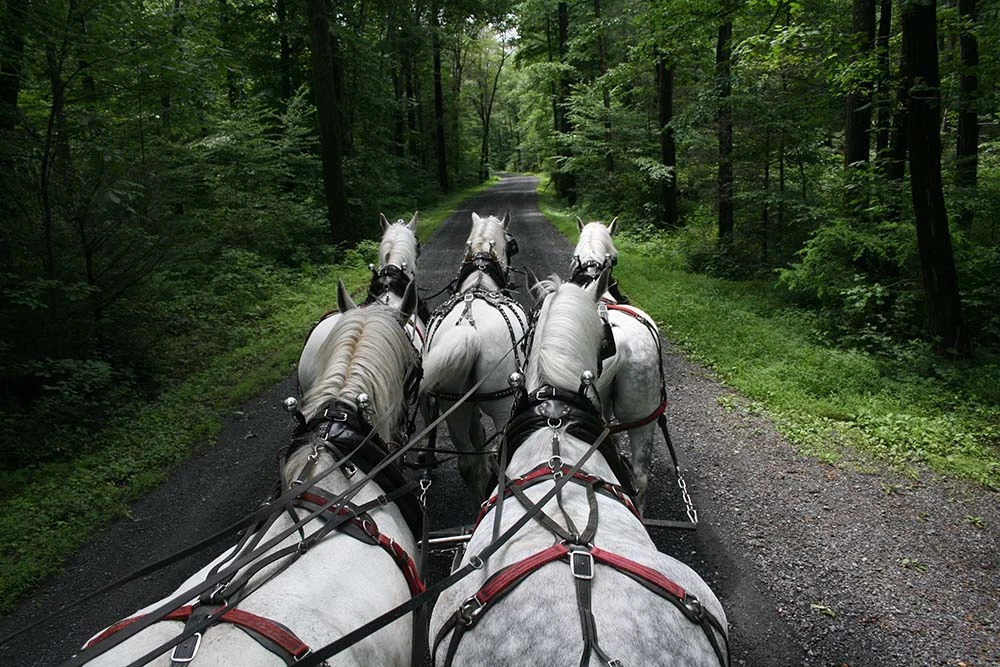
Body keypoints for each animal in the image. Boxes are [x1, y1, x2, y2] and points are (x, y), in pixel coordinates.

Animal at [420, 211, 528, 503]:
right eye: (512, 244)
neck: (480, 281)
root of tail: (468, 329)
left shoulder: (467, 402)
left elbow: (476, 432)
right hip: (503, 403)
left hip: (452, 403)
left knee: (468, 463)